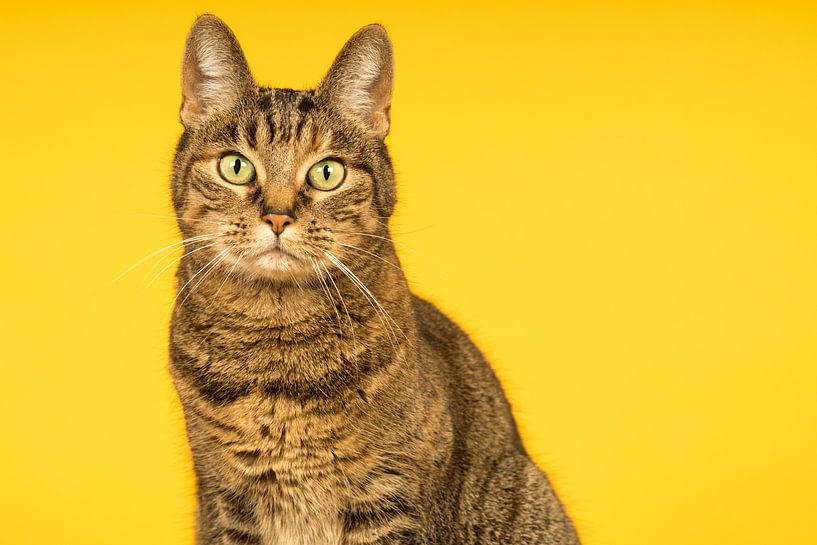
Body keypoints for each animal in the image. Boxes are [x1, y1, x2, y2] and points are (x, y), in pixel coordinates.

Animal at [169, 12, 580, 544]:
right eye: (236, 166)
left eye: (326, 173)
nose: (277, 217)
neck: (276, 349)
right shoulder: (227, 502)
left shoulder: (387, 498)